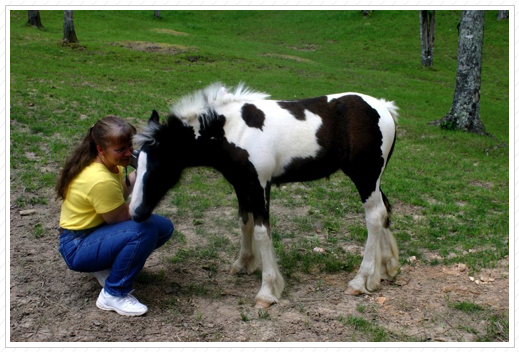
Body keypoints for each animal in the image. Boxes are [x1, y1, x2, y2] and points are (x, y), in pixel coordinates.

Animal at [129, 82, 398, 308]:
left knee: (374, 217)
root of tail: (384, 107)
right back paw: (386, 268)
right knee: (384, 210)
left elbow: (261, 231)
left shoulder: (259, 185)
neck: (233, 129)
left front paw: (267, 291)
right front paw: (243, 263)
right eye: (136, 163)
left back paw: (361, 280)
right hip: (373, 179)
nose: (135, 212)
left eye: (157, 167)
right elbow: (244, 222)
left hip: (364, 176)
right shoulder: (241, 184)